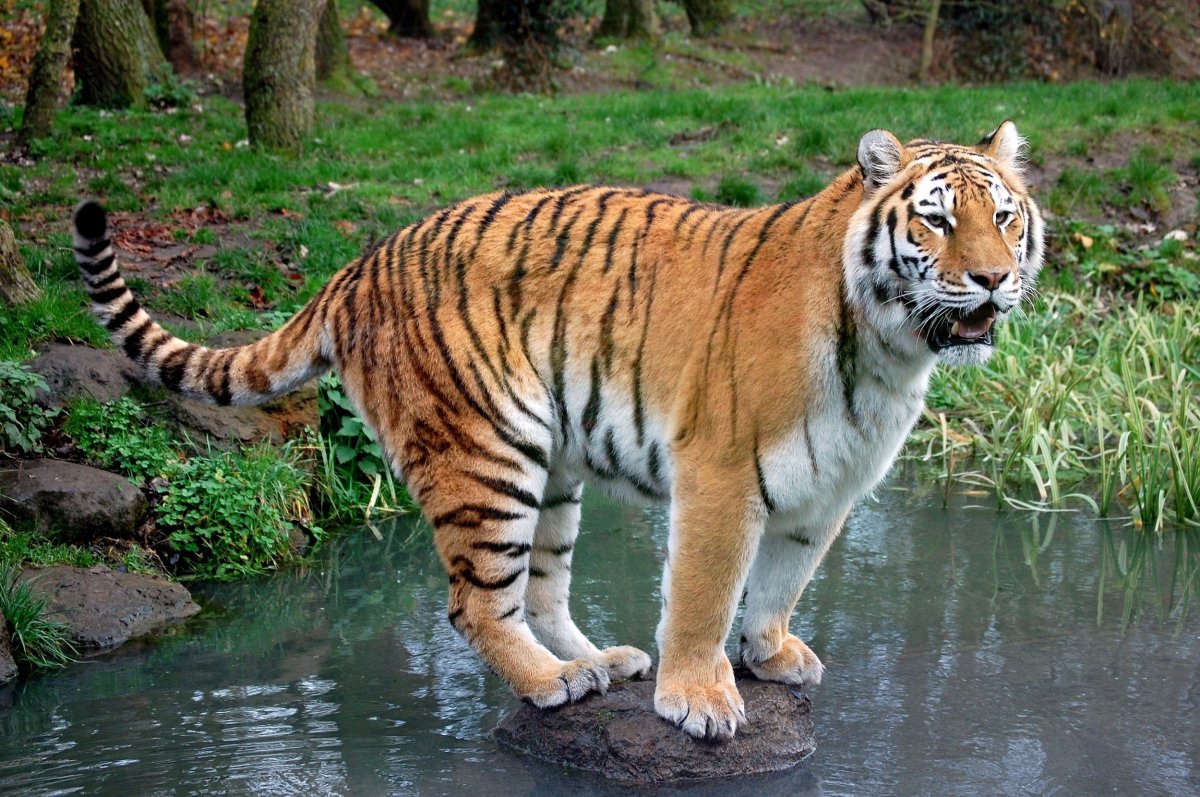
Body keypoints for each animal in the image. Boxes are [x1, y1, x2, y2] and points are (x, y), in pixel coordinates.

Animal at [71, 120, 1043, 740]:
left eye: (1003, 216)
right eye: (936, 219)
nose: (994, 279)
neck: (889, 350)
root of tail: (358, 263)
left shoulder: (830, 487)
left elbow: (780, 583)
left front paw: (769, 655)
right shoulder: (722, 474)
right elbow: (706, 592)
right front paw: (700, 697)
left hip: (553, 467)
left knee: (538, 590)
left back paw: (601, 662)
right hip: (485, 453)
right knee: (474, 602)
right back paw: (552, 682)